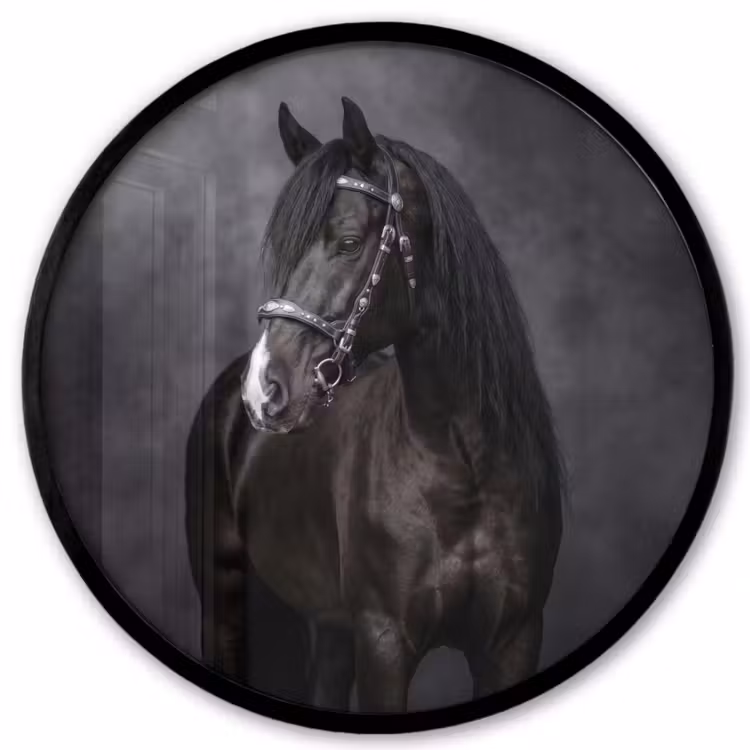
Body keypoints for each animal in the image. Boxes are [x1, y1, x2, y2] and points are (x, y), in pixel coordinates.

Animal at [185, 97, 564, 712]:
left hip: (328, 628)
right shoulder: (384, 640)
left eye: (347, 242)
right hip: (227, 605)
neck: (463, 467)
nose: (263, 388)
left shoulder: (513, 638)